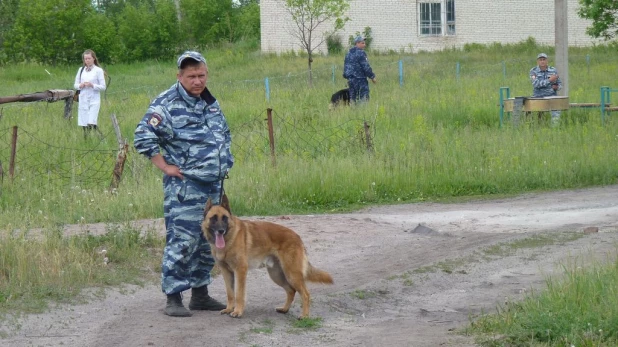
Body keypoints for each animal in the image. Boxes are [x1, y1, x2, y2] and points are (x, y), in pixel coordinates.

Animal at [202, 194, 332, 320]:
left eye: (224, 218)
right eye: (213, 218)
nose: (221, 231)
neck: (229, 239)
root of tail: (297, 237)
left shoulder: (240, 270)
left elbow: (239, 294)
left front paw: (238, 311)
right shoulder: (226, 272)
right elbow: (230, 294)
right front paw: (229, 309)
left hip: (292, 274)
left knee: (305, 294)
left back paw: (304, 315)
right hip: (277, 274)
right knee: (291, 291)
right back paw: (284, 309)